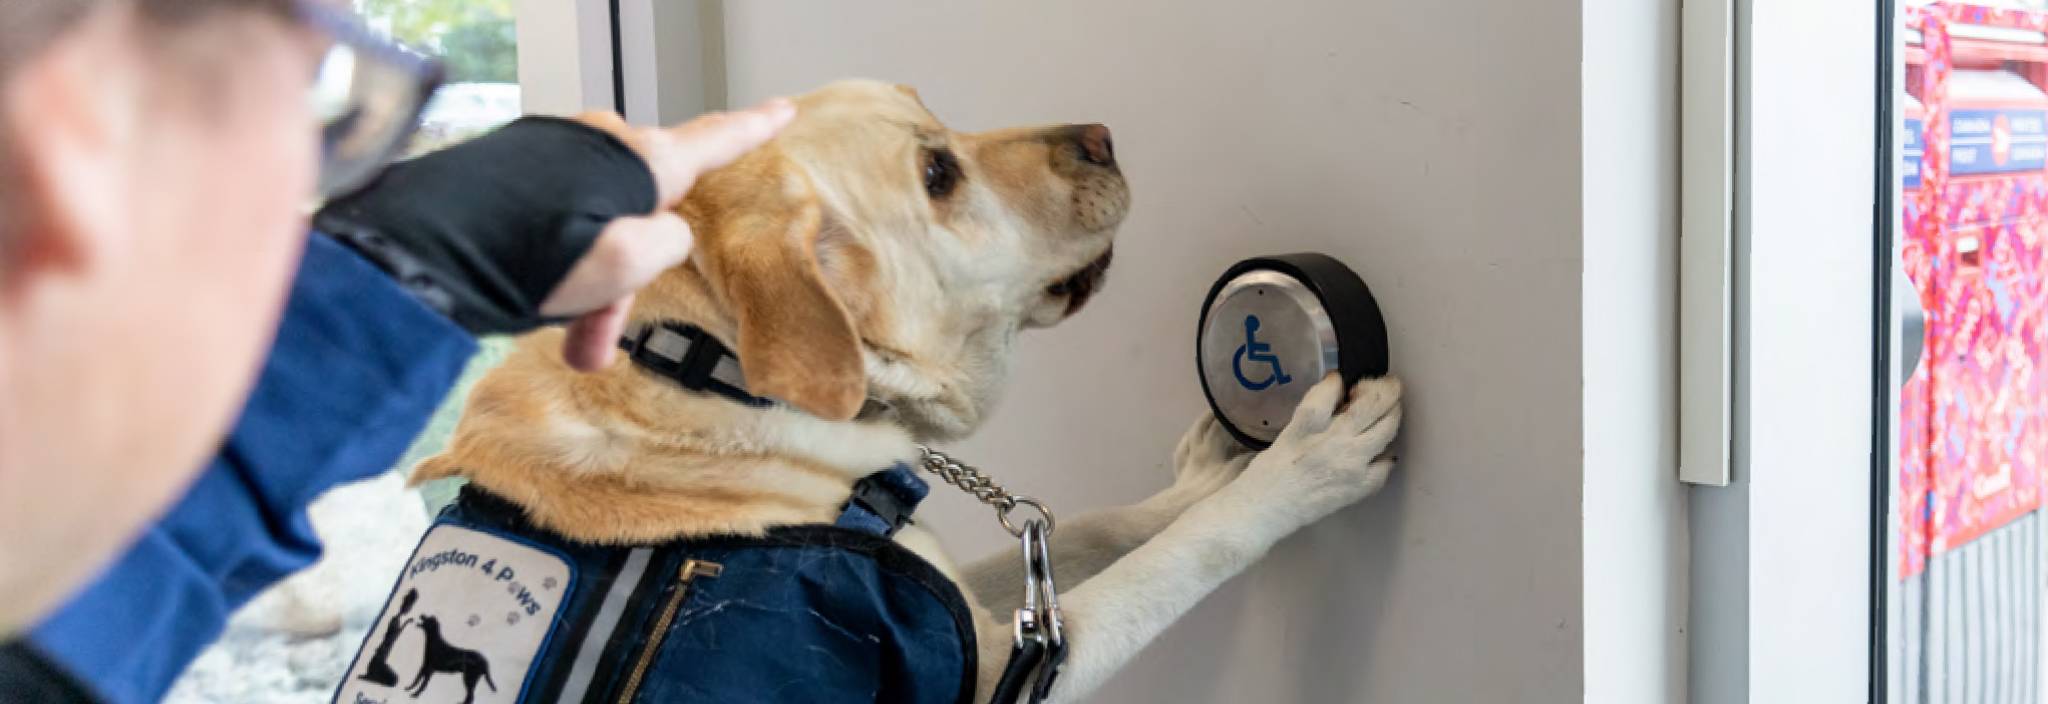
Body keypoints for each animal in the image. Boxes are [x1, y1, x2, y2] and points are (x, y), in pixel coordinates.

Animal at [352, 81, 1409, 704]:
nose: (1104, 136)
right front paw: (1298, 469)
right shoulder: (1001, 668)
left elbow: (1094, 527)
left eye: (942, 122)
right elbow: (1178, 560)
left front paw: (1198, 482)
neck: (710, 369)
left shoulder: (966, 595)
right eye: (937, 173)